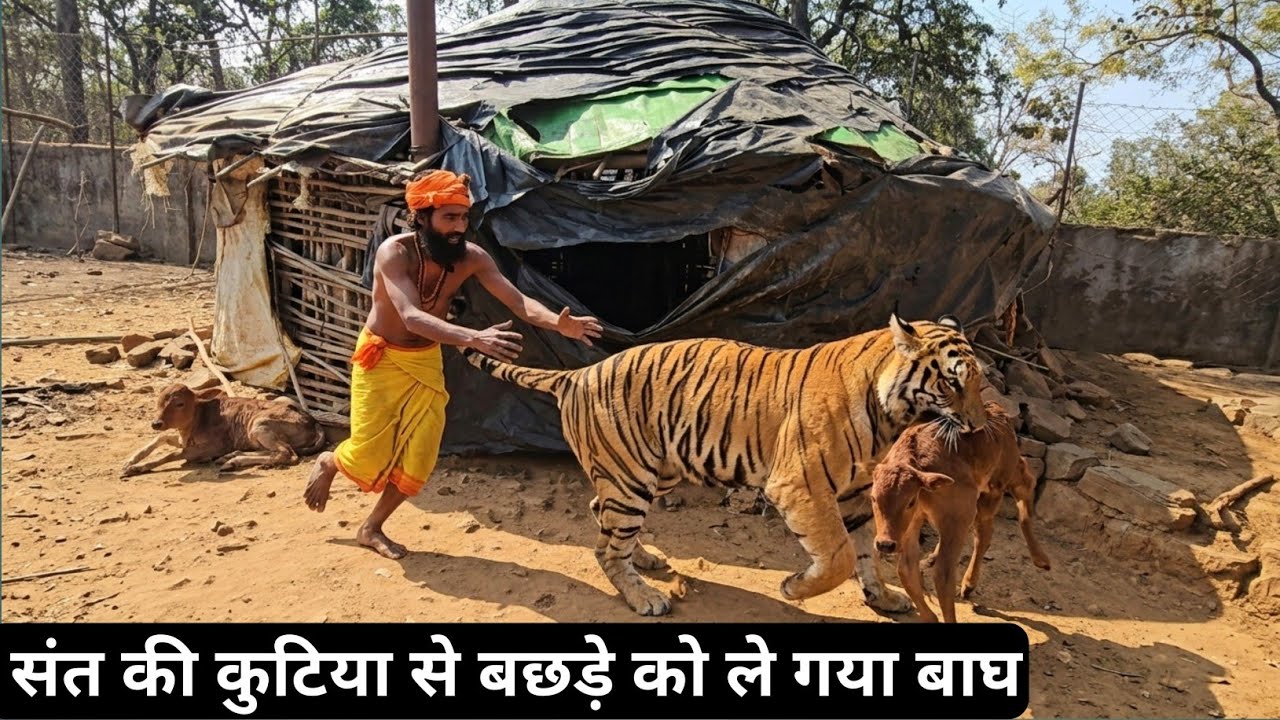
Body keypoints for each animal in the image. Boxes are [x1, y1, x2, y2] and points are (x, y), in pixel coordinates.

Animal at [461, 314, 988, 616]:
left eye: (979, 382)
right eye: (952, 383)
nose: (980, 426)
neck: (888, 413)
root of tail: (579, 372)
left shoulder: (856, 493)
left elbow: (865, 553)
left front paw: (883, 597)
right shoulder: (799, 485)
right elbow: (837, 555)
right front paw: (793, 588)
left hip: (651, 473)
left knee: (602, 520)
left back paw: (646, 560)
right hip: (632, 480)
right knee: (606, 549)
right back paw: (644, 597)